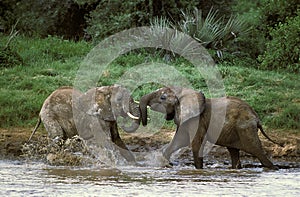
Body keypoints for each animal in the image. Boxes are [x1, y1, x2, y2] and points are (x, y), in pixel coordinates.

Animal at [140, 86, 282, 169]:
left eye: (162, 97)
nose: (145, 123)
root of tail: (256, 117)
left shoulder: (197, 120)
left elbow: (195, 143)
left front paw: (199, 169)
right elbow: (180, 140)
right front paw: (165, 162)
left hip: (246, 129)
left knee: (256, 151)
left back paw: (272, 168)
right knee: (234, 152)